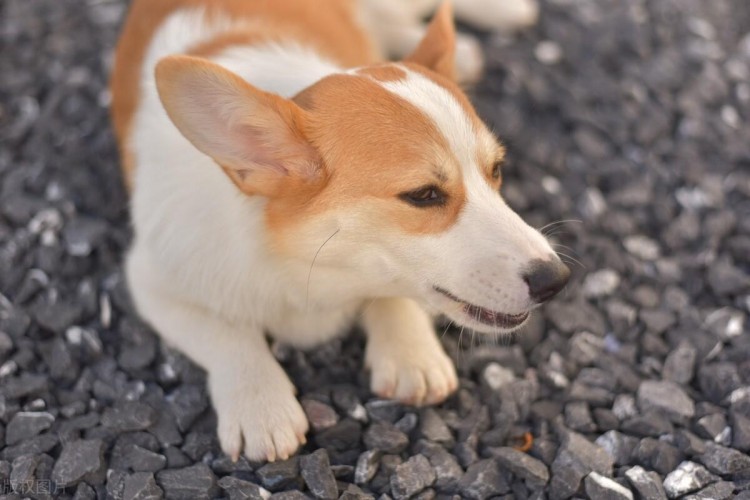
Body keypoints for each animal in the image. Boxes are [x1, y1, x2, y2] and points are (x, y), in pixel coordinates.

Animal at [113, 0, 568, 460]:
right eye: (423, 194)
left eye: (496, 170)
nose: (557, 279)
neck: (303, 267)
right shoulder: (153, 281)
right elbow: (226, 335)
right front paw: (260, 407)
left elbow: (394, 295)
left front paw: (411, 355)